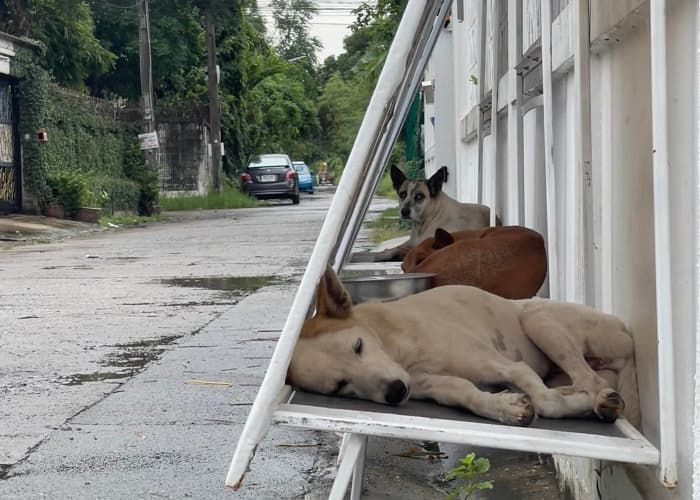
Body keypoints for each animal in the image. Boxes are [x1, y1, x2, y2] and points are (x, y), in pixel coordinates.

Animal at [286, 268, 640, 428]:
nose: (396, 392)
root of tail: (627, 336)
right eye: (340, 386)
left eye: (358, 346)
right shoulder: (435, 386)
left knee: (590, 381)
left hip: (537, 319)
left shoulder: (509, 366)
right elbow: (468, 395)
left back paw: (596, 401)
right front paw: (503, 406)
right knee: (587, 382)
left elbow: (545, 402)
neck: (397, 347)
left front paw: (568, 405)